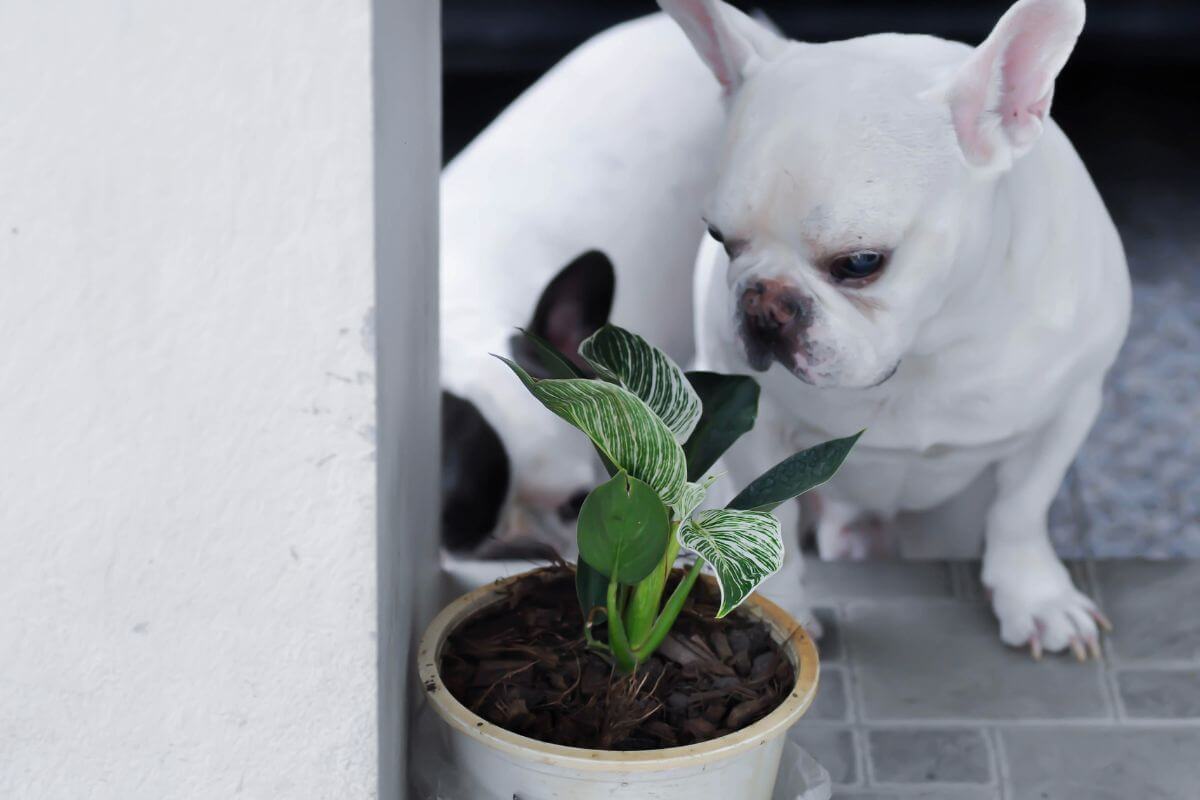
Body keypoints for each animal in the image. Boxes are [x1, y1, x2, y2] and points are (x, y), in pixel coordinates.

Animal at [667, 0, 1132, 657]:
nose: (764, 305)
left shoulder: (1068, 407)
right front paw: (781, 608)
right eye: (720, 239)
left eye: (861, 262)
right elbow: (766, 515)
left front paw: (1037, 598)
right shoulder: (749, 419)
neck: (927, 343)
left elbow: (1021, 509)